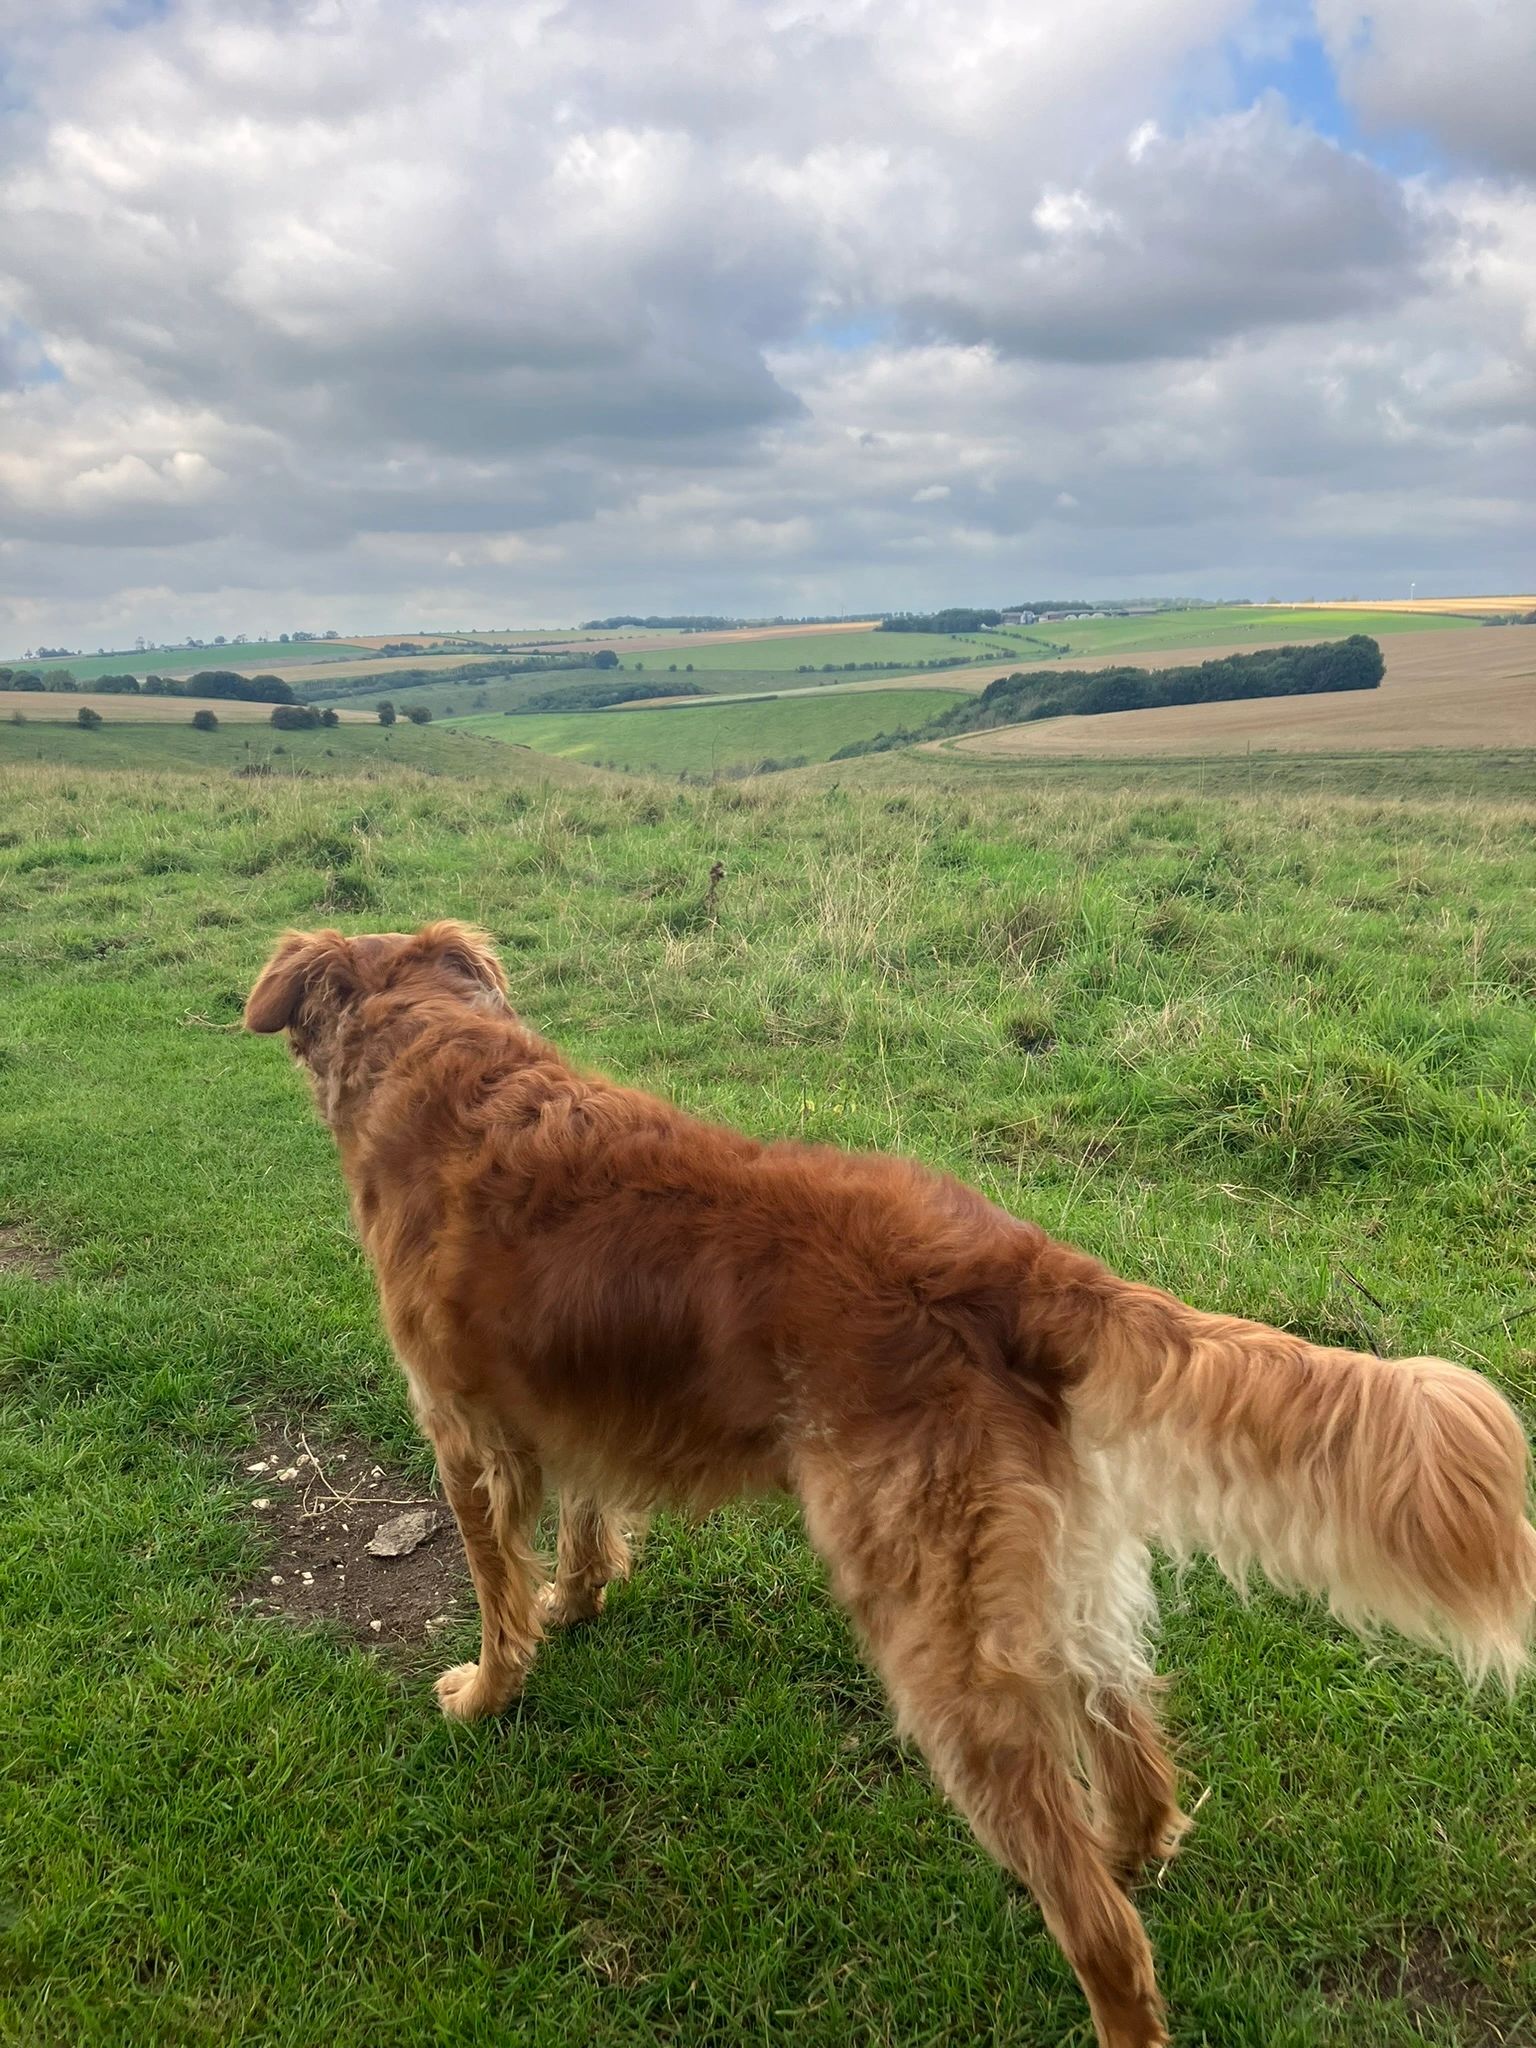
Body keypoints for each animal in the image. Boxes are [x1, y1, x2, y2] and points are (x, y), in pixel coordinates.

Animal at [246, 929, 1531, 2048]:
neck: (438, 1056)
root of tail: (1020, 1260)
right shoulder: (570, 1413)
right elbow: (586, 1524)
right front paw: (582, 1599)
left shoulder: (466, 1432)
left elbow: (492, 1584)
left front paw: (487, 1690)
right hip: (1053, 1581)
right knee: (1129, 1740)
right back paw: (1131, 1842)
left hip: (936, 1635)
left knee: (1103, 1926)